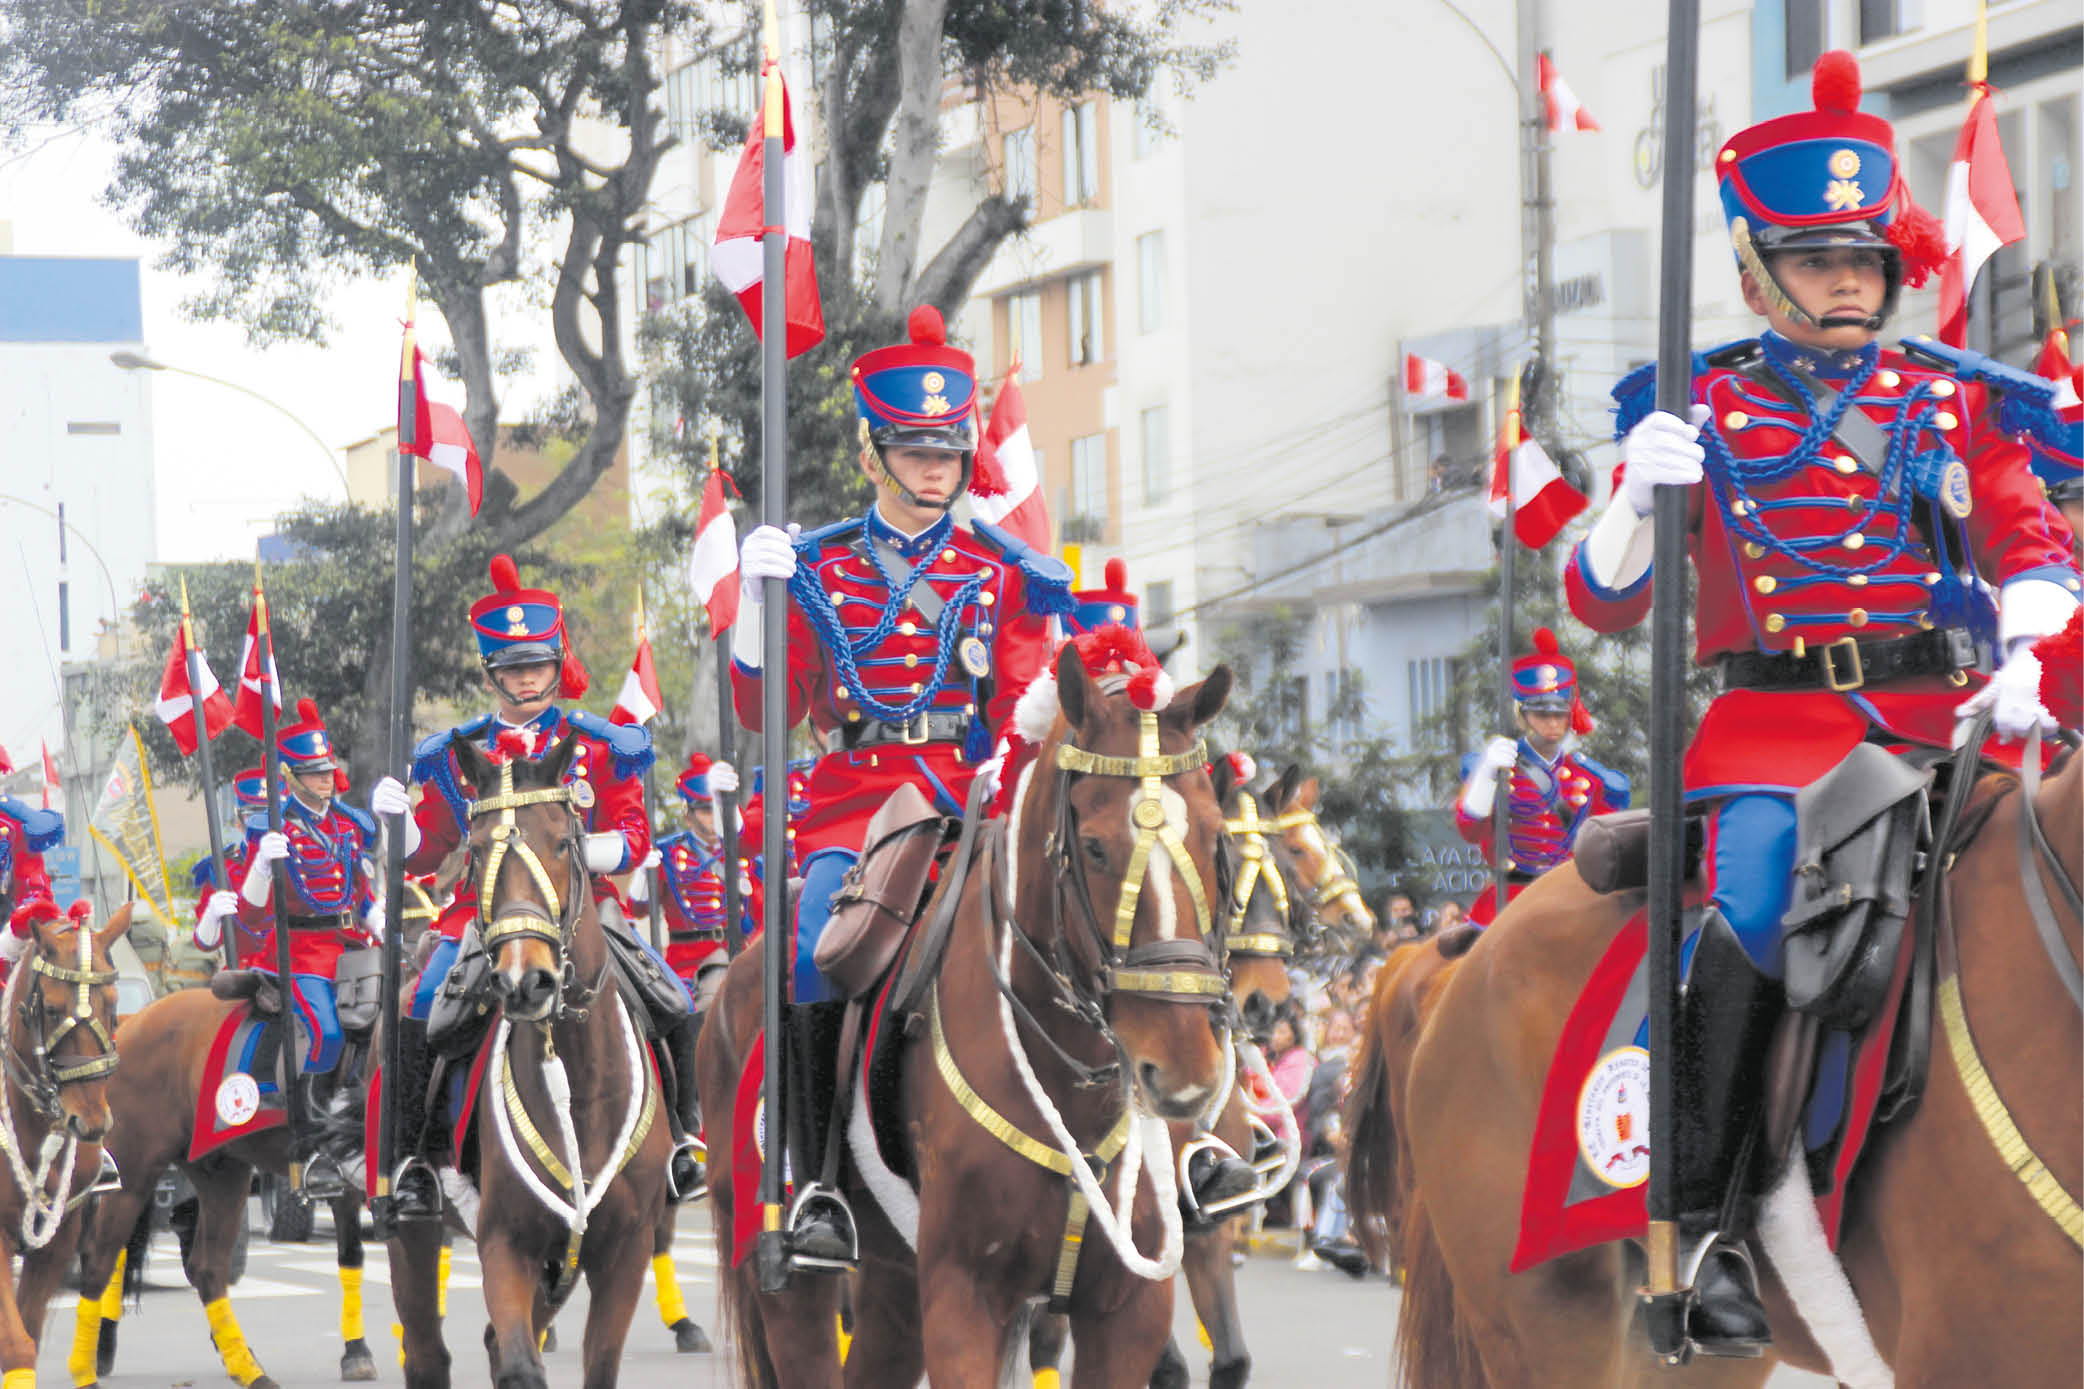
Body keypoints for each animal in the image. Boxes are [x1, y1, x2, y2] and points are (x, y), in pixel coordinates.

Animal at [0, 903, 129, 1389]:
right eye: (53, 1010)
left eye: (113, 1005)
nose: (89, 1122)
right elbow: (16, 1344)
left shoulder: (58, 1243)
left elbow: (29, 1336)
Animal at [379, 733, 662, 1382]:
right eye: (477, 850)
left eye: (561, 841)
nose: (523, 981)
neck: (580, 1083)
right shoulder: (505, 1242)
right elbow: (517, 1364)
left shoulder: (624, 1250)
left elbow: (598, 1363)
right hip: (415, 1232)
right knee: (427, 1353)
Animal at [691, 645, 1242, 1389]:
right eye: (1096, 847)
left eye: (1217, 838)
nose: (1184, 1072)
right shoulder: (964, 1298)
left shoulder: (1129, 1311)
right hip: (787, 1275)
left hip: (894, 1283)